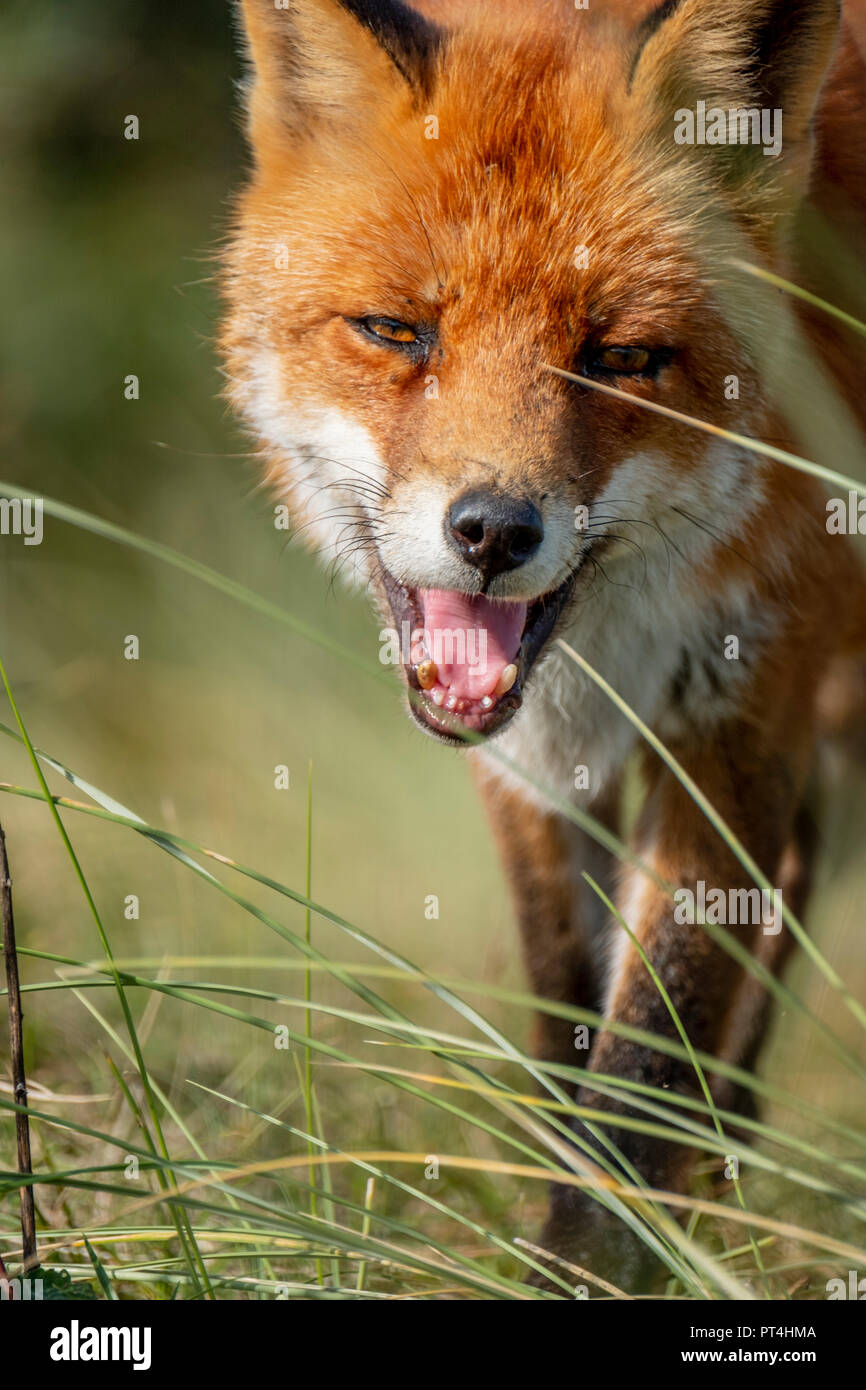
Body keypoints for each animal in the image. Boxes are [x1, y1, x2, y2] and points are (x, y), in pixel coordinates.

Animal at [222, 0, 866, 1284]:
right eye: (394, 331)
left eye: (619, 357)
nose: (489, 530)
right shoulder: (530, 765)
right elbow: (572, 1001)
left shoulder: (743, 713)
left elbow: (648, 1047)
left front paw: (590, 1263)